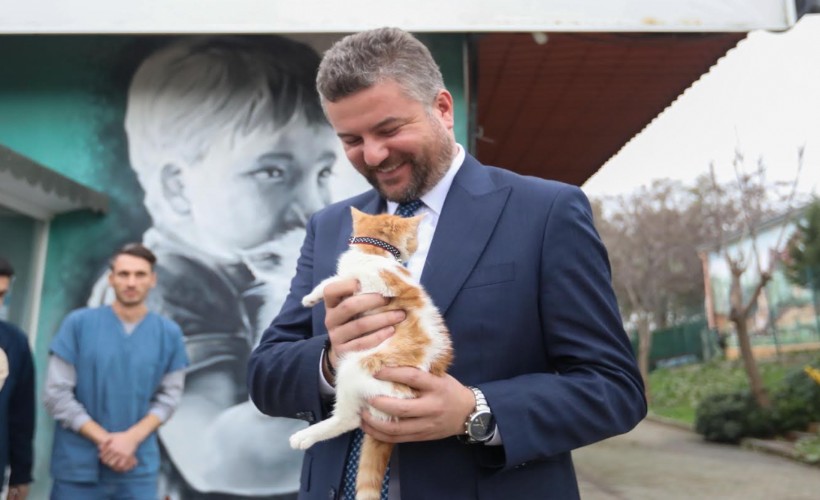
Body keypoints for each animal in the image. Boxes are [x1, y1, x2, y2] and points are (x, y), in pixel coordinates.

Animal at [290, 206, 454, 500]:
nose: (414, 248)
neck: (374, 250)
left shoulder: (378, 283)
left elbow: (336, 280)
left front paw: (313, 294)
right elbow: (335, 280)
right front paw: (312, 297)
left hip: (357, 367)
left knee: (349, 418)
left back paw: (306, 436)